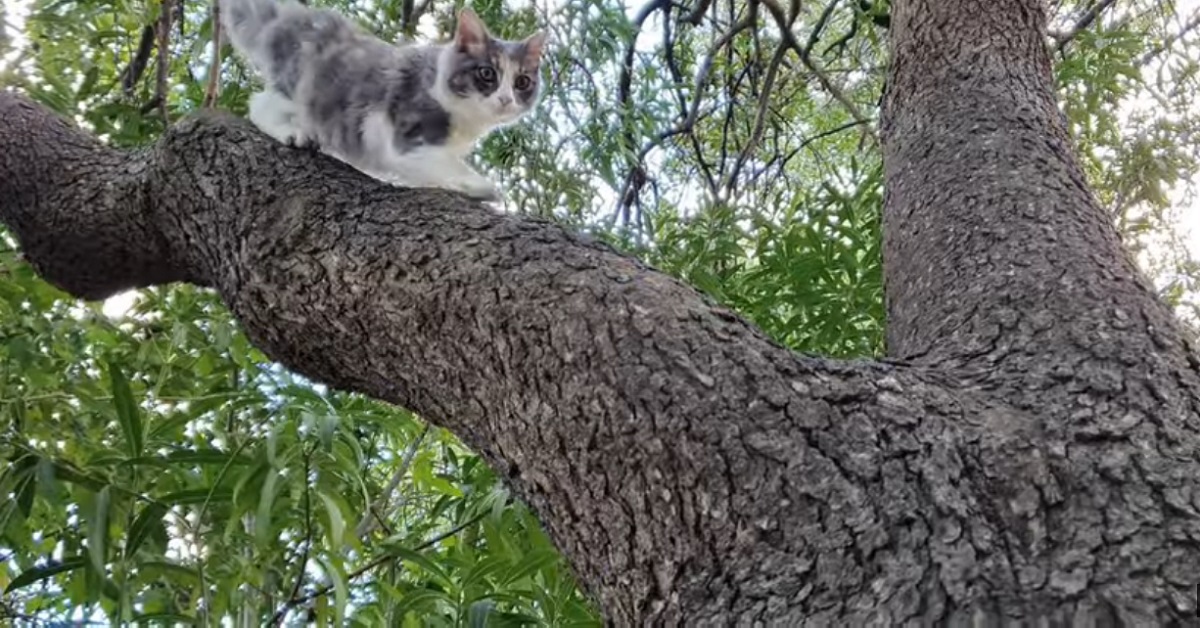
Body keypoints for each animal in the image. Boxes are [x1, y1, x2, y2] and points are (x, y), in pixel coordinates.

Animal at [223, 0, 547, 201]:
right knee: (259, 103)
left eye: (522, 82)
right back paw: (293, 132)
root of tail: (290, 17)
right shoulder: (407, 137)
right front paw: (482, 187)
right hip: (301, 91)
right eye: (487, 74)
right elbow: (446, 163)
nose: (505, 99)